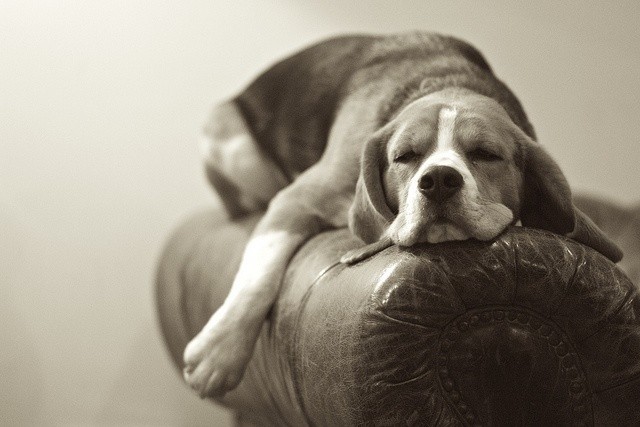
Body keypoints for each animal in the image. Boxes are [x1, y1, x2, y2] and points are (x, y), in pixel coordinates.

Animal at [182, 32, 624, 398]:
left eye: (485, 154)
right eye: (405, 156)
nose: (439, 180)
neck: (445, 82)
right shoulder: (298, 199)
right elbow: (258, 277)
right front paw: (219, 353)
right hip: (233, 143)